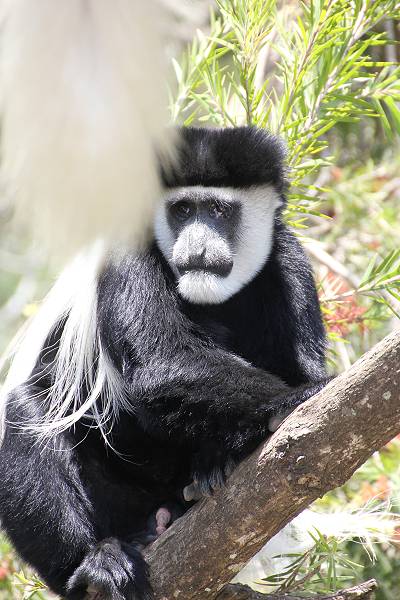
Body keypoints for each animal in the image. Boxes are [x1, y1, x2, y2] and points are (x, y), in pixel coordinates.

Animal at [0, 127, 328, 600]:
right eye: (182, 209)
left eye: (217, 209)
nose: (197, 247)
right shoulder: (129, 252)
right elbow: (162, 366)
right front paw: (298, 397)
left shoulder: (289, 262)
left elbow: (302, 368)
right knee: (26, 420)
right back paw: (95, 565)